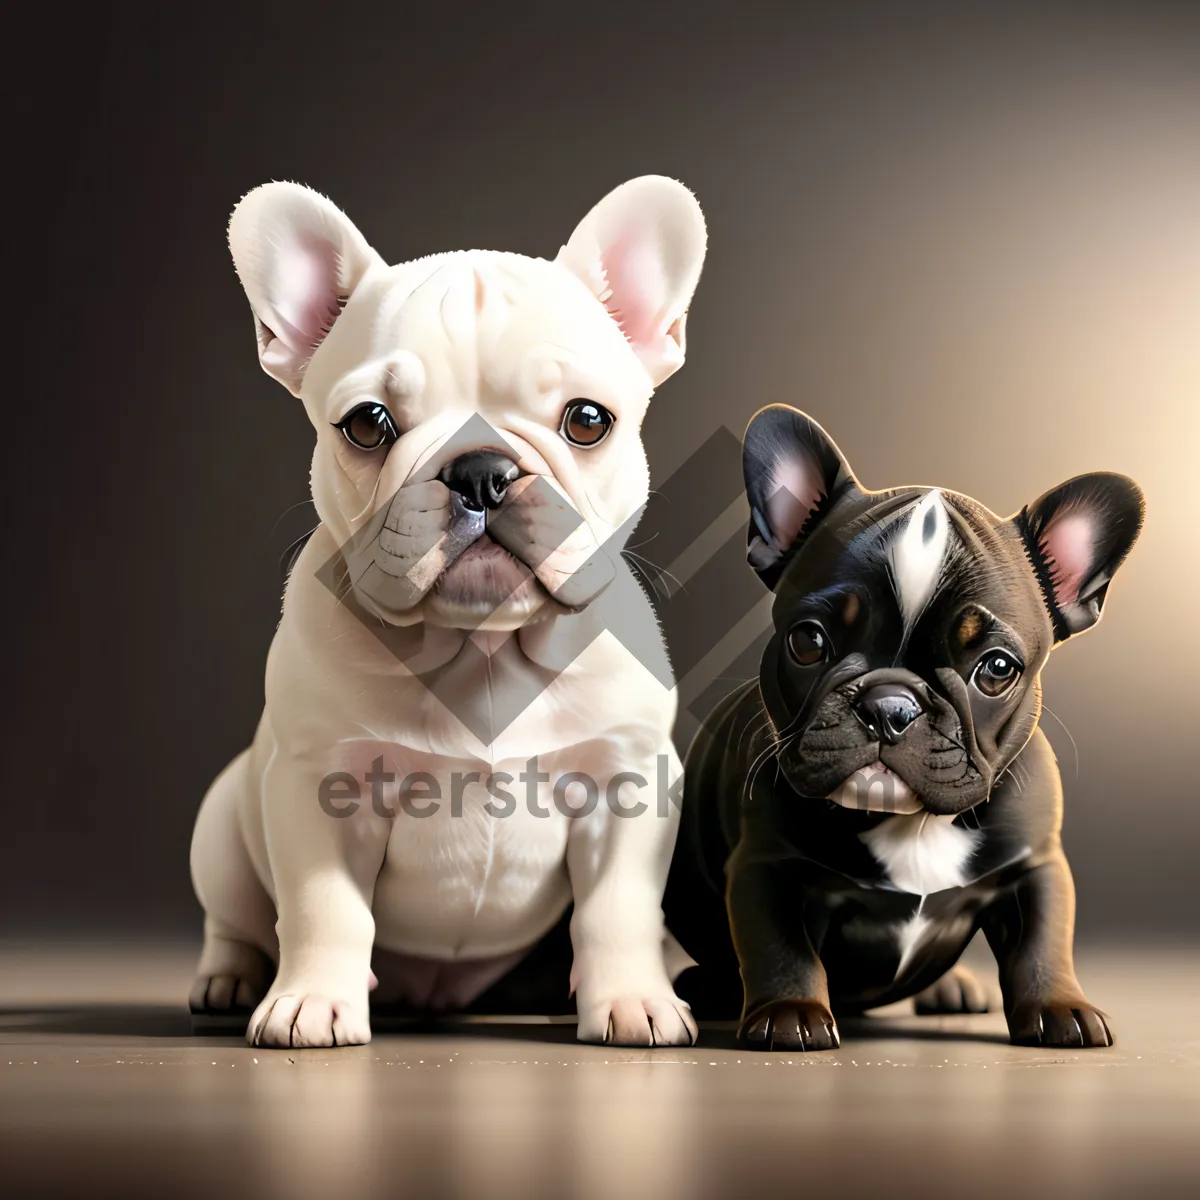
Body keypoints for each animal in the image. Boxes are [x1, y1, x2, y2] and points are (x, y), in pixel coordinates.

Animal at [192, 174, 705, 1046]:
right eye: (367, 424)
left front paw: (633, 1002)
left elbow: (617, 911)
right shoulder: (319, 787)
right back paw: (227, 979)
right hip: (223, 824)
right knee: (234, 920)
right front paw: (312, 1003)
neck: (484, 648)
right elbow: (325, 907)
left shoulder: (628, 787)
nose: (481, 471)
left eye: (587, 420)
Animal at [667, 403, 1142, 1051]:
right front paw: (791, 1013)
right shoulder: (767, 866)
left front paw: (1060, 1007)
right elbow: (781, 945)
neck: (911, 824)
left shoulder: (1036, 866)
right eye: (807, 641)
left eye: (997, 668)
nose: (890, 706)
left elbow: (1042, 942)